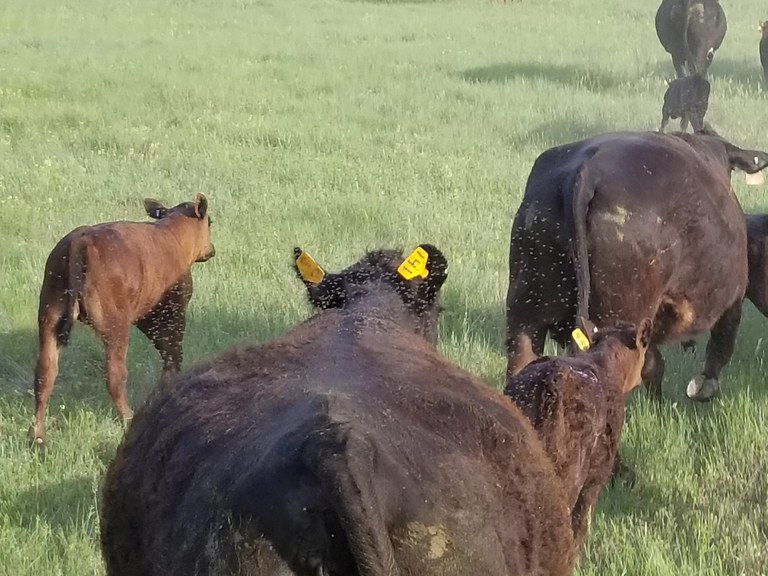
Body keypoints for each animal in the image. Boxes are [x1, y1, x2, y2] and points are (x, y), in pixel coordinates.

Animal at [28, 194, 214, 450]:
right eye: (210, 222)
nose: (211, 250)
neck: (172, 235)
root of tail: (81, 238)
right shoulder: (170, 312)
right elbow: (172, 356)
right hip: (116, 326)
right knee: (115, 376)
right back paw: (128, 418)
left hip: (49, 318)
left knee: (44, 373)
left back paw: (37, 436)